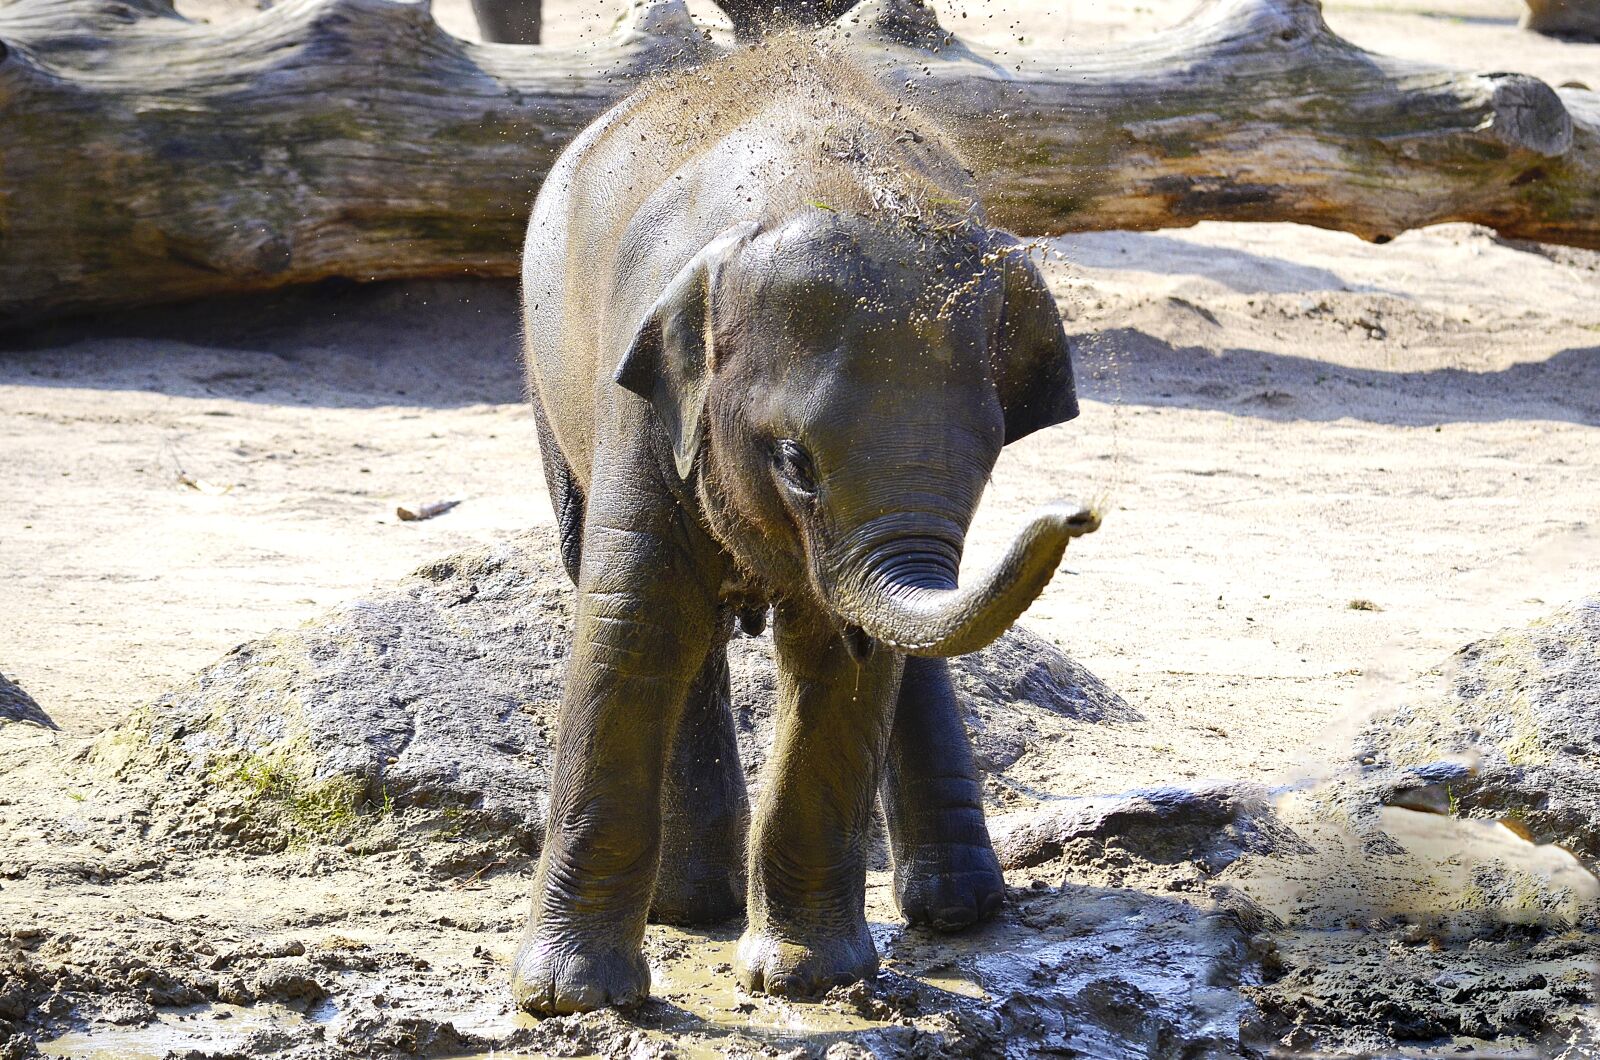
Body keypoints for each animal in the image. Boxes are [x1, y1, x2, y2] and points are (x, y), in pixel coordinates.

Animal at [513, 39, 1097, 1014]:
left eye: (988, 464)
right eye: (794, 460)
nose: (1080, 513)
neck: (817, 179)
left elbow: (839, 651)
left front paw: (803, 979)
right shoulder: (640, 401)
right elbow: (634, 617)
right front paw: (569, 998)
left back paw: (955, 909)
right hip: (542, 375)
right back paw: (692, 905)